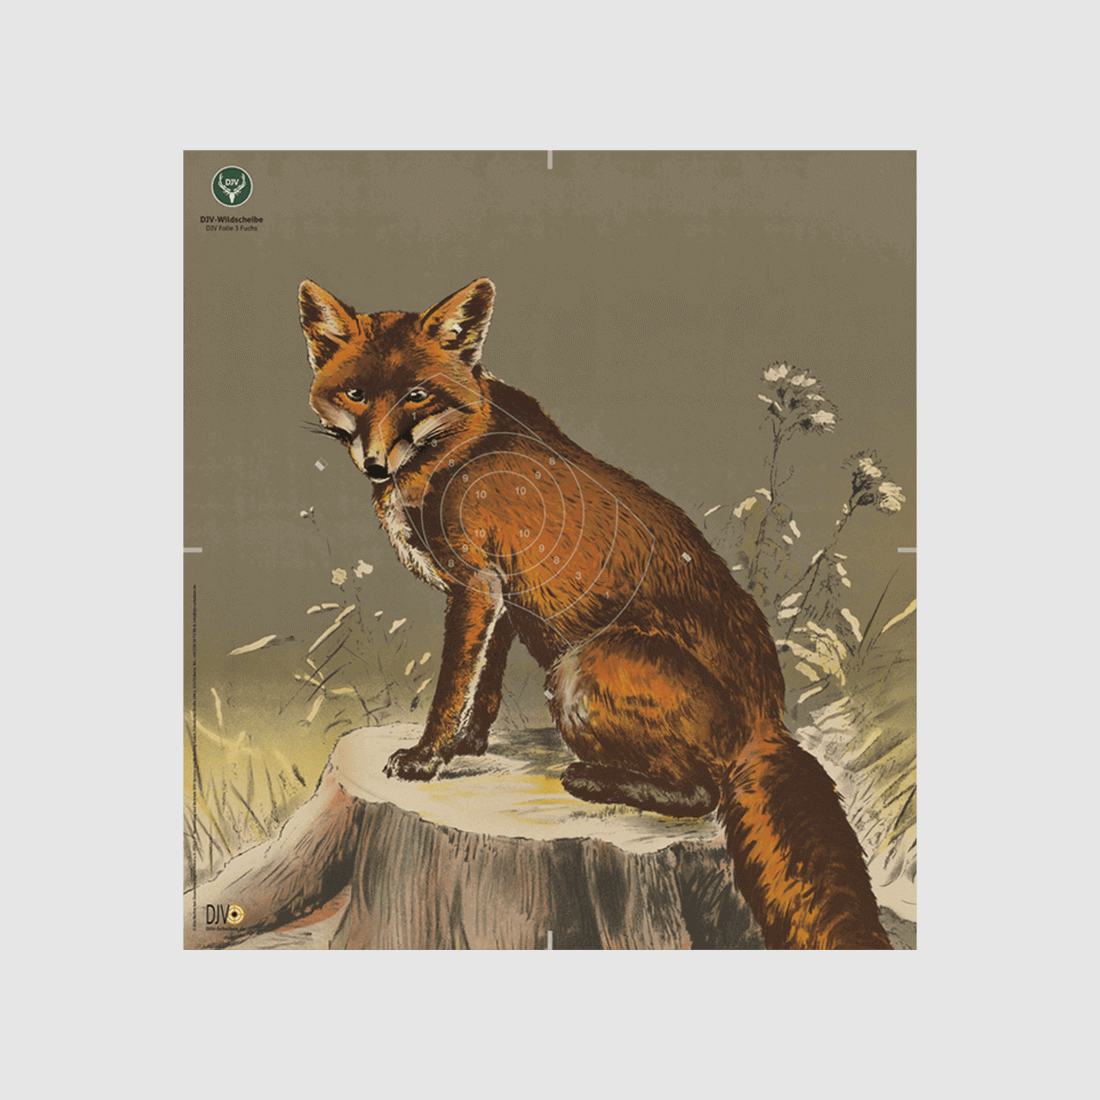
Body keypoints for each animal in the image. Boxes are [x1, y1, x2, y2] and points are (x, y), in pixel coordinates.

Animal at [298, 276, 892, 950]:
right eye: (355, 393)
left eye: (418, 395)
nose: (375, 462)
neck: (456, 445)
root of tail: (769, 720)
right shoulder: (501, 598)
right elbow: (485, 686)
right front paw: (469, 746)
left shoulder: (475, 587)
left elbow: (452, 686)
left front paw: (426, 758)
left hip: (579, 670)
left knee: (703, 793)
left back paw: (594, 778)